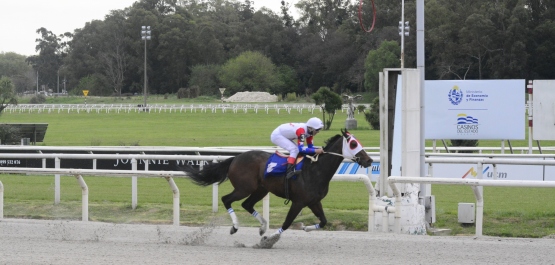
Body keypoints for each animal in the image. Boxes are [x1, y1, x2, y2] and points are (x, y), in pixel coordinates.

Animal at [184, 129, 374, 246]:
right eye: (353, 144)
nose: (369, 160)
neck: (315, 170)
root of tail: (235, 158)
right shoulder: (298, 202)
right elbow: (287, 222)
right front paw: (270, 240)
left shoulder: (314, 201)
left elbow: (324, 221)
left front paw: (305, 227)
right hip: (244, 188)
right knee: (226, 199)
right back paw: (235, 226)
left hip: (261, 189)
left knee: (247, 204)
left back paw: (262, 226)